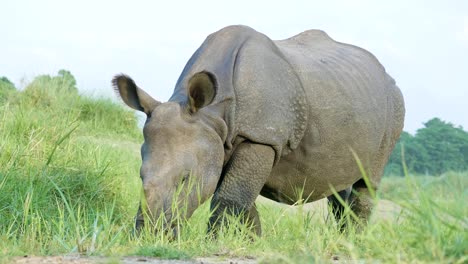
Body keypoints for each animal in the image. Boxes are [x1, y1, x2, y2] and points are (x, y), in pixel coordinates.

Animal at [114, 24, 406, 235]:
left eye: (186, 179)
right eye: (140, 174)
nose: (149, 234)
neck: (212, 114)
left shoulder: (262, 137)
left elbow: (231, 197)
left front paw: (218, 241)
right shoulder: (221, 140)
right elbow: (243, 200)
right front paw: (249, 240)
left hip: (394, 106)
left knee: (367, 182)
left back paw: (353, 241)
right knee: (341, 185)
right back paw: (343, 240)